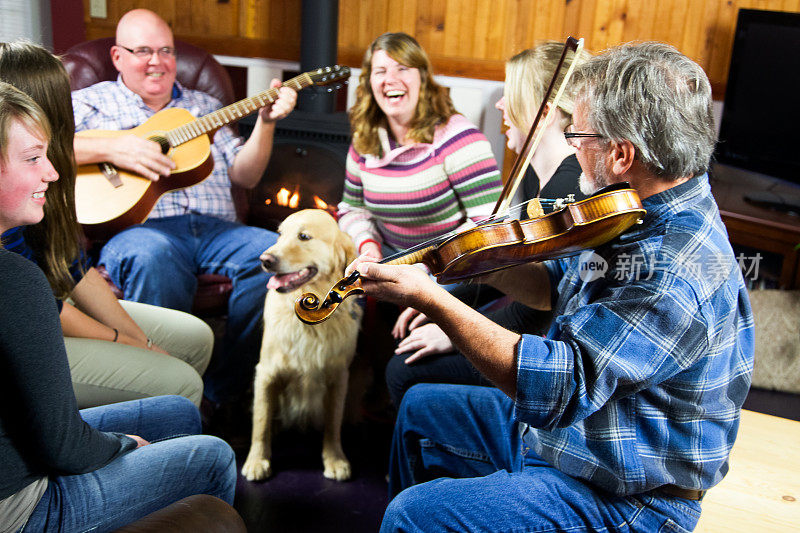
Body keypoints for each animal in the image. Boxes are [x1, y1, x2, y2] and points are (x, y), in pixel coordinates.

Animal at [239, 209, 360, 482]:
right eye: (280, 234)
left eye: (304, 236)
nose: (265, 260)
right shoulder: (266, 373)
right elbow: (260, 421)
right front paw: (257, 461)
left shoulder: (339, 376)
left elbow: (333, 422)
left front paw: (335, 459)